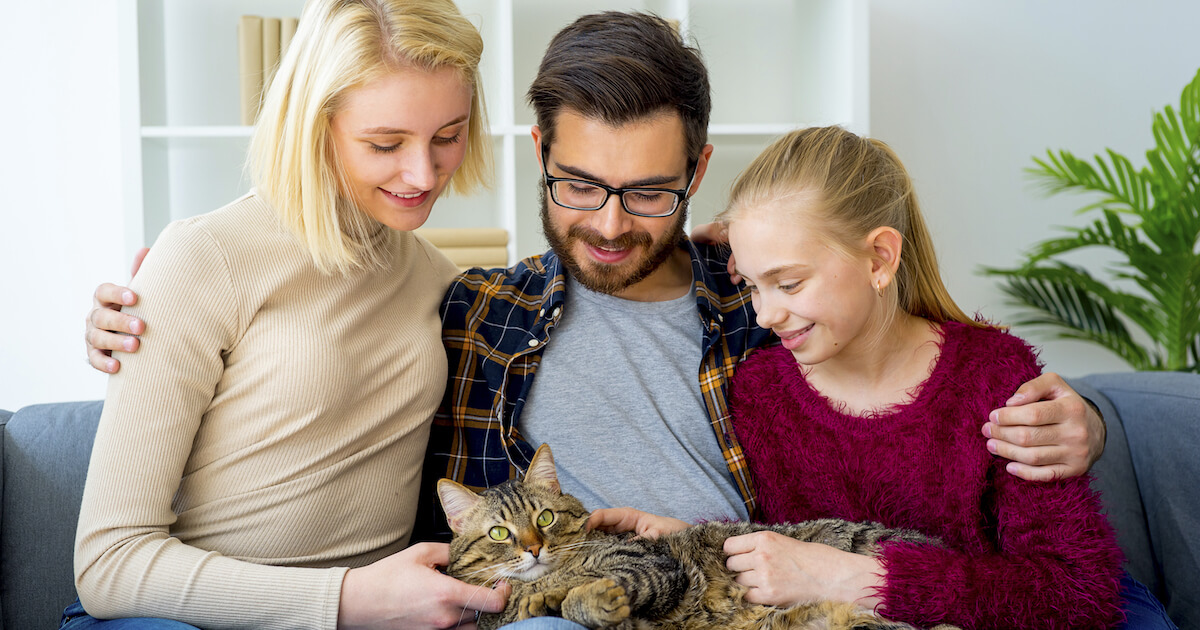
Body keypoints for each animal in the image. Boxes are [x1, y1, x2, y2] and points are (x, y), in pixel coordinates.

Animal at [436, 441, 960, 628]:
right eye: (499, 533)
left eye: (544, 518)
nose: (533, 548)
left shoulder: (649, 563)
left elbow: (578, 593)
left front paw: (587, 594)